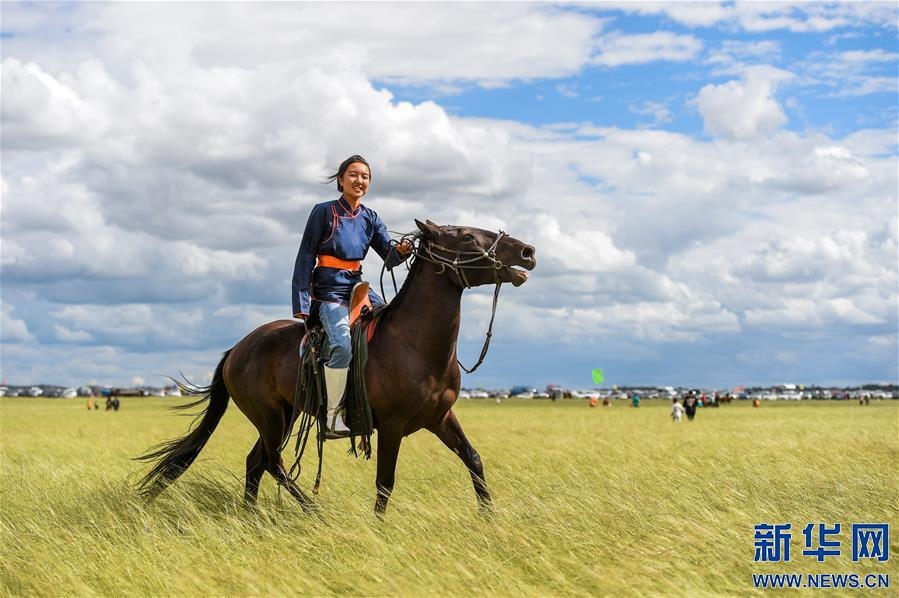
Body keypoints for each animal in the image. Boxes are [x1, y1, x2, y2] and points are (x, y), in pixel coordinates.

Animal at [137, 220, 536, 516]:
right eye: (467, 236)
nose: (527, 252)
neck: (414, 344)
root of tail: (237, 348)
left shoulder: (440, 418)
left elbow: (473, 459)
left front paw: (488, 517)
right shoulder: (392, 426)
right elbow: (385, 481)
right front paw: (379, 527)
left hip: (288, 413)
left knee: (256, 461)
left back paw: (251, 513)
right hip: (270, 416)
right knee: (272, 461)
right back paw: (312, 511)